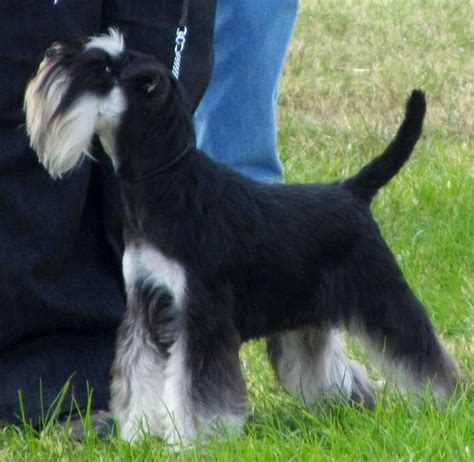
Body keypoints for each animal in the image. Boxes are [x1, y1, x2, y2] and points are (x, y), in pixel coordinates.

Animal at [24, 29, 464, 444]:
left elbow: (196, 390)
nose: (49, 55)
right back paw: (347, 407)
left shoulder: (200, 317)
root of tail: (352, 192)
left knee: (421, 355)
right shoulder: (143, 311)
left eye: (101, 70)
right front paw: (137, 436)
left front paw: (193, 440)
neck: (168, 183)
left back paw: (448, 404)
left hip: (382, 297)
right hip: (304, 321)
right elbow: (138, 377)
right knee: (326, 369)